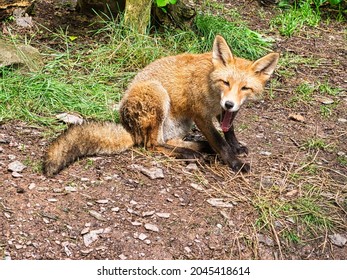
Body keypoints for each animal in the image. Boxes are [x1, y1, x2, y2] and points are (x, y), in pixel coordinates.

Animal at [43, 34, 282, 175]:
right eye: (226, 82)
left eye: (245, 88)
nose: (230, 103)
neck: (212, 90)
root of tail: (130, 130)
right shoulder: (201, 115)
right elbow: (219, 142)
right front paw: (234, 162)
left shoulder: (222, 112)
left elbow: (228, 131)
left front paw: (235, 145)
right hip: (158, 96)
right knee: (152, 144)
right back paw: (191, 153)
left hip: (181, 124)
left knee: (169, 141)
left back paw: (198, 148)